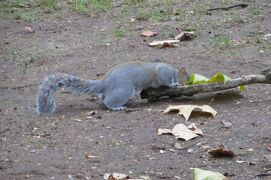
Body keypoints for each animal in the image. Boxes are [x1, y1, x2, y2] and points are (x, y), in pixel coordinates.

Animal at [35, 61, 182, 116]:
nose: (180, 79)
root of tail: (103, 83)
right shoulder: (162, 73)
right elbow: (166, 82)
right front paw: (174, 85)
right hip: (125, 89)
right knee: (108, 102)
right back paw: (117, 107)